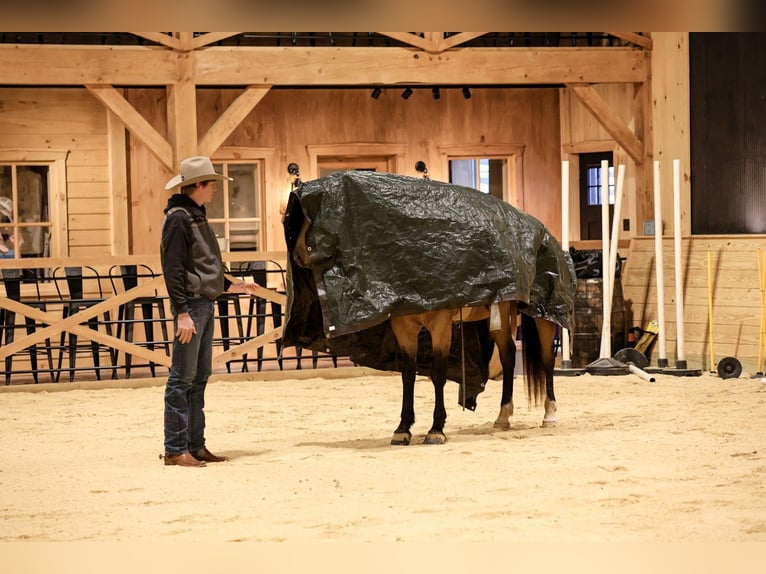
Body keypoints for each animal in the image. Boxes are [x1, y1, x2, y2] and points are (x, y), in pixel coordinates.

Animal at [292, 216, 559, 445]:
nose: (298, 254)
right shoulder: (405, 330)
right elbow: (408, 375)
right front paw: (402, 429)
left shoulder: (441, 328)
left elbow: (438, 374)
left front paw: (436, 429)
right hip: (501, 322)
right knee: (508, 355)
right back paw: (503, 416)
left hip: (543, 318)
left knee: (547, 359)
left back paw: (550, 415)